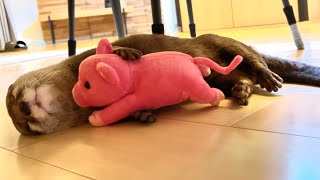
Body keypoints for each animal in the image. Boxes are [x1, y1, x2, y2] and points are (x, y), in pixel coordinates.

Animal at [5, 34, 320, 135]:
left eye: (15, 95)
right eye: (28, 125)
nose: (26, 108)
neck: (72, 78)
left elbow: (116, 46)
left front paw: (125, 53)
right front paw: (142, 115)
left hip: (222, 42)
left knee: (252, 59)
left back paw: (267, 76)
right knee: (241, 80)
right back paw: (240, 90)